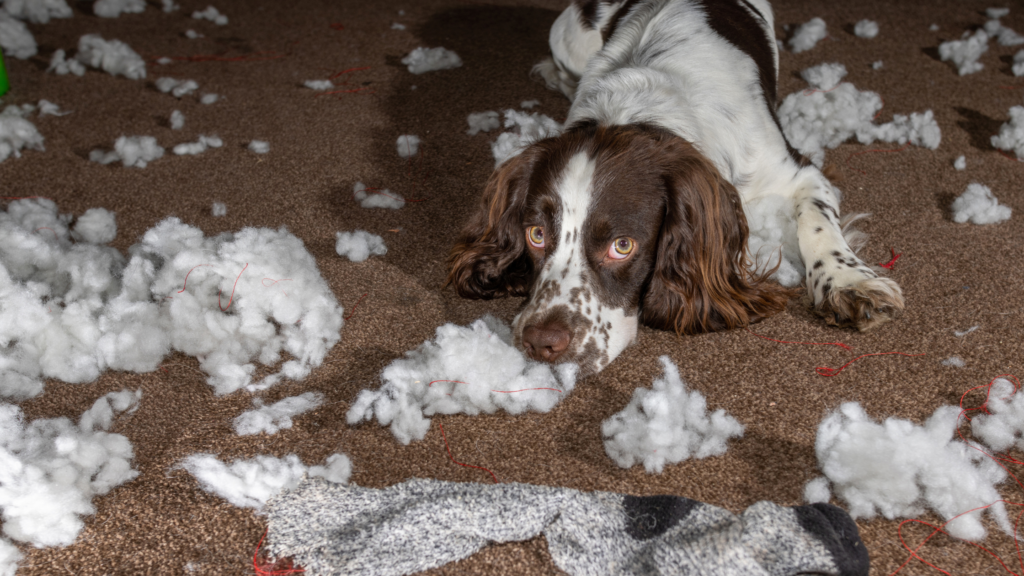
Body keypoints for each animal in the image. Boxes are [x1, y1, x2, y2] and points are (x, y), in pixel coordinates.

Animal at [448, 0, 905, 375]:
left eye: (623, 246)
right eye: (536, 234)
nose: (541, 343)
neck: (638, 113)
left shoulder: (797, 172)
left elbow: (817, 223)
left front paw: (849, 284)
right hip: (569, 37)